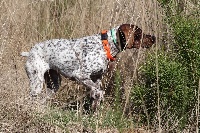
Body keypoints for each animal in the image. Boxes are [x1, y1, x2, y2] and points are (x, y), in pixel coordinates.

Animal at [21, 24, 155, 110]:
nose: (154, 38)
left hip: (54, 84)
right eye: (139, 33)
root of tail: (30, 52)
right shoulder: (81, 76)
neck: (105, 45)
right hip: (36, 83)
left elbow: (96, 94)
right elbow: (98, 92)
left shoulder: (97, 78)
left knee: (43, 99)